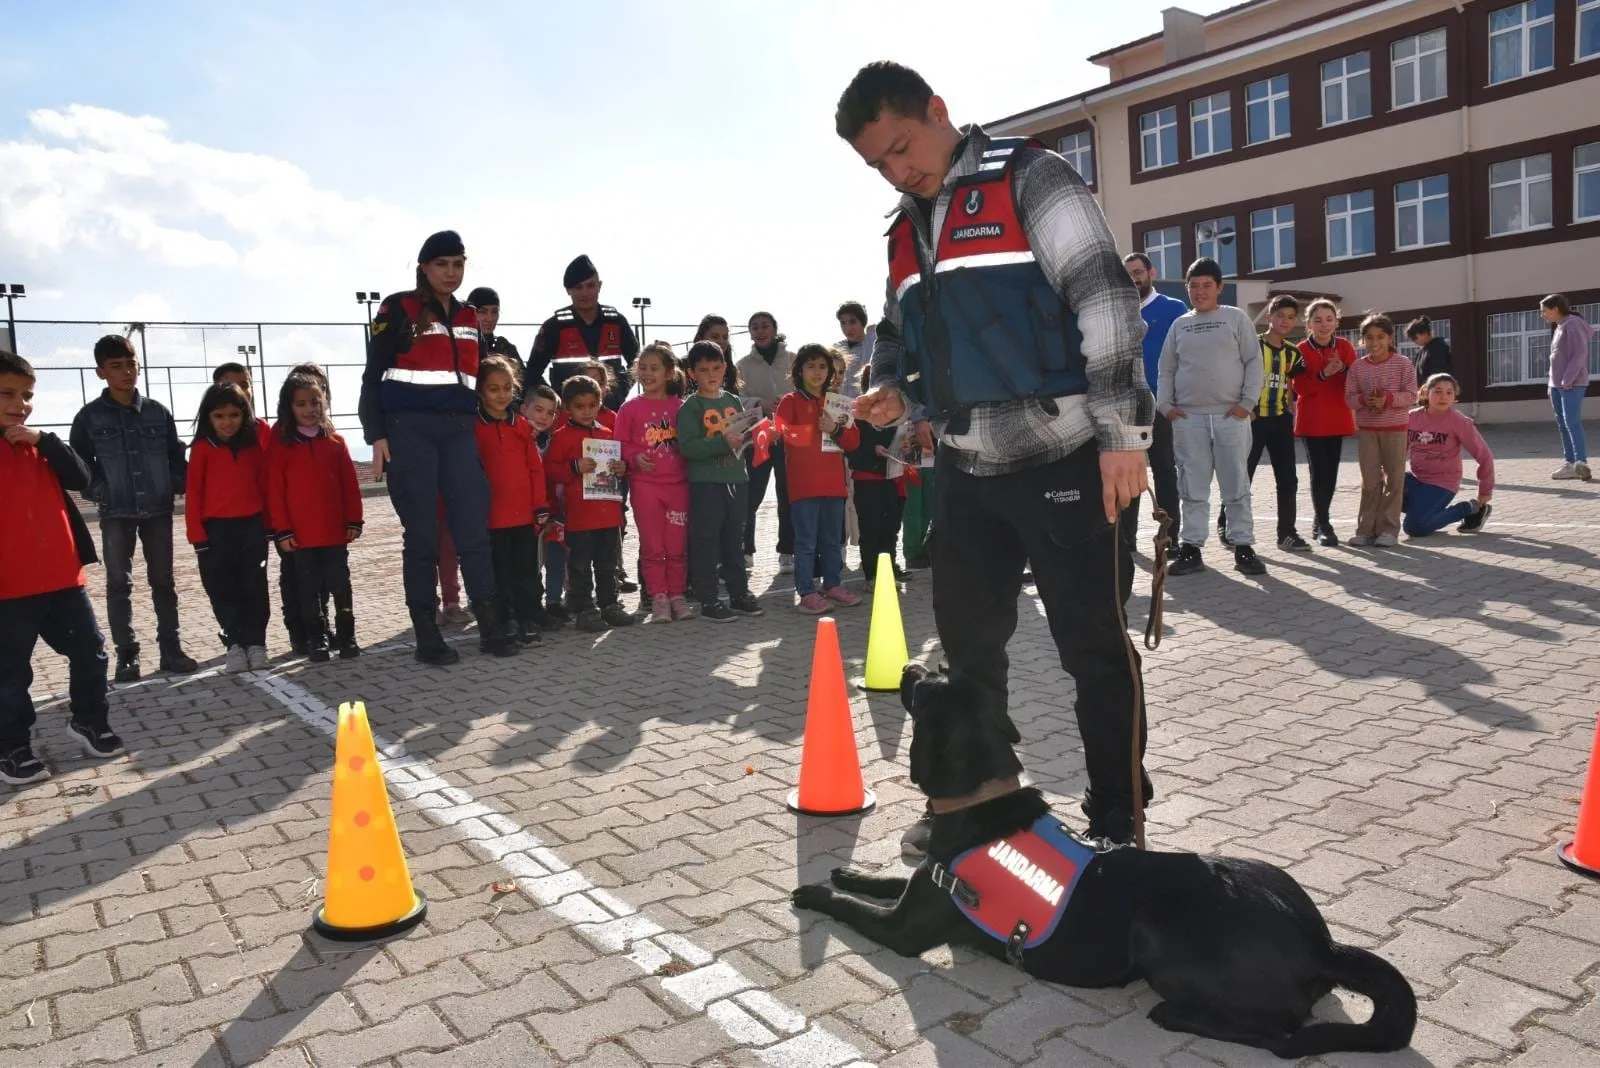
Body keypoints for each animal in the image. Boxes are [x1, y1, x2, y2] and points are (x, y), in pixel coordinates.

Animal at [791, 664, 1417, 1059]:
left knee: (1283, 1035)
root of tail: (1322, 945)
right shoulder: (921, 884)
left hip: (1159, 923)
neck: (979, 800)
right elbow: (887, 878)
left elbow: (851, 908)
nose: (909, 667)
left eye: (928, 687)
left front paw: (816, 892)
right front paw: (850, 871)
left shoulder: (904, 930)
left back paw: (1178, 1016)